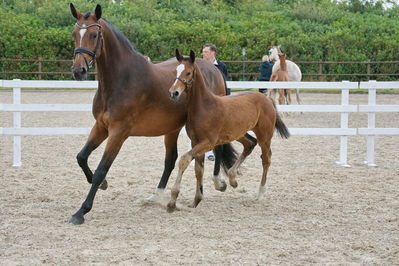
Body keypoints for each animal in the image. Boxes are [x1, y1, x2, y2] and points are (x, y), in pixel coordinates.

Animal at [69, 4, 238, 224]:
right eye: (74, 34)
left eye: (94, 34)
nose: (78, 70)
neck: (121, 80)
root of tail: (214, 69)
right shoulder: (101, 127)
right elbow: (81, 157)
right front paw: (103, 184)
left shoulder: (118, 133)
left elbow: (101, 169)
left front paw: (82, 211)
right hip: (172, 128)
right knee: (171, 159)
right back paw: (157, 195)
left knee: (216, 147)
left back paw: (218, 182)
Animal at [166, 50, 290, 212]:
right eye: (176, 70)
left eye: (188, 72)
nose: (173, 92)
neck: (204, 106)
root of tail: (266, 99)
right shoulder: (195, 142)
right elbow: (198, 170)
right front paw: (196, 200)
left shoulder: (208, 143)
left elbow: (184, 160)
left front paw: (172, 201)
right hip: (238, 133)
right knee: (250, 143)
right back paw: (232, 178)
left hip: (265, 135)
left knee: (266, 158)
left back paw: (260, 193)